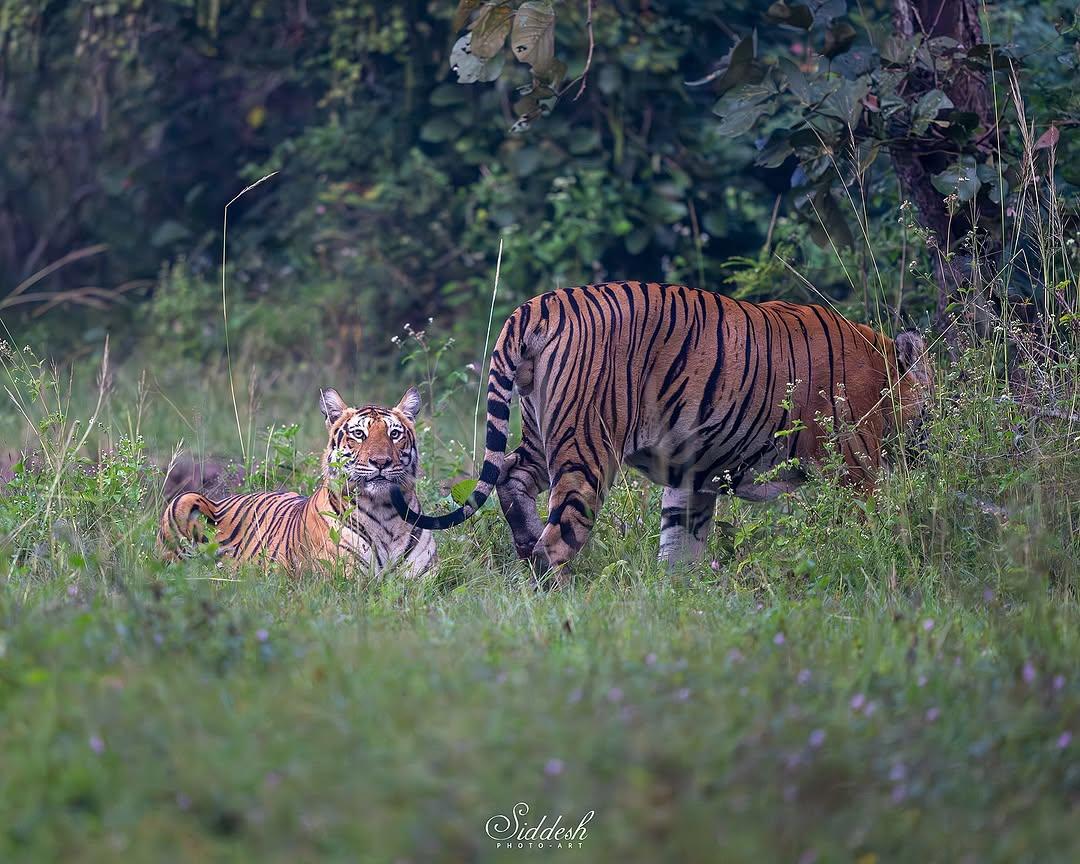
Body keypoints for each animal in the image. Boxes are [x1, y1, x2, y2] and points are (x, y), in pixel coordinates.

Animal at [162, 388, 432, 578]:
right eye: (359, 434)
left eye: (394, 434)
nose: (381, 462)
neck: (385, 512)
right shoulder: (346, 580)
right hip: (181, 502)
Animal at [393, 280, 933, 574]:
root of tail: (539, 305)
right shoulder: (855, 468)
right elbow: (875, 529)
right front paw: (884, 562)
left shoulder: (693, 475)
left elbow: (680, 545)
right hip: (587, 446)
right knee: (559, 536)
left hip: (543, 433)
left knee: (509, 476)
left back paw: (524, 542)